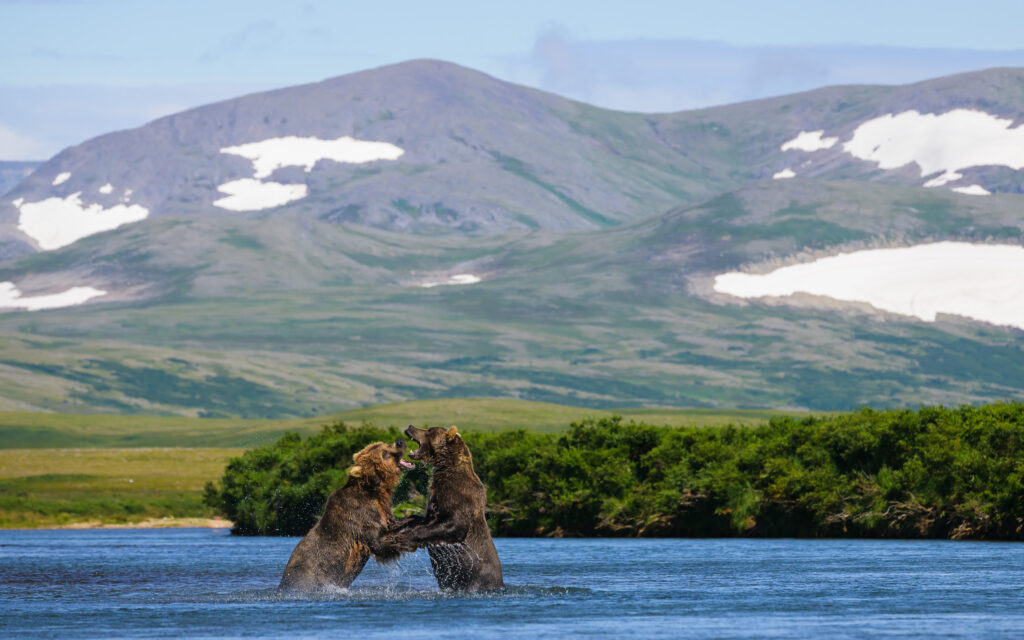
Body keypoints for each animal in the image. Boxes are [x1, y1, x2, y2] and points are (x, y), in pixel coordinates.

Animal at [278, 439, 414, 591]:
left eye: (383, 443)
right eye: (384, 452)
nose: (400, 442)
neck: (375, 491)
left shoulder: (382, 509)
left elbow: (393, 524)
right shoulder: (361, 516)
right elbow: (380, 543)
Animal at [387, 425, 504, 592]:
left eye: (429, 430)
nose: (410, 427)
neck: (446, 467)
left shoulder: (460, 497)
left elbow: (452, 525)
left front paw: (401, 538)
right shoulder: (435, 499)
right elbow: (421, 519)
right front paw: (397, 525)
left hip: (479, 579)